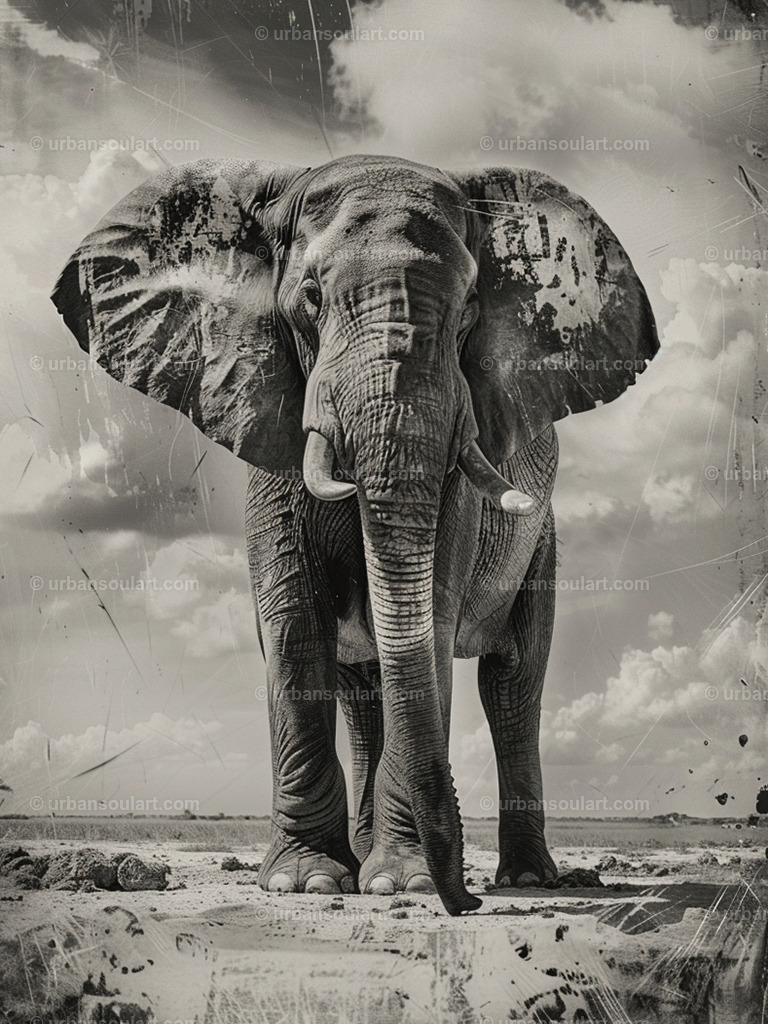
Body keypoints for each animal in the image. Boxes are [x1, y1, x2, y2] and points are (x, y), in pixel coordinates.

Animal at [51, 154, 658, 916]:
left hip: (542, 544)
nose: (466, 902)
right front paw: (307, 881)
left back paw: (521, 878)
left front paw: (405, 884)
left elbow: (432, 619)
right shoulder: (271, 422)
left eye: (470, 309)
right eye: (311, 295)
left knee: (512, 684)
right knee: (363, 692)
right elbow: (292, 630)